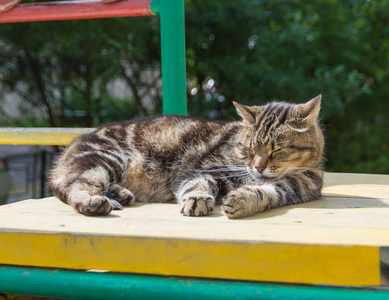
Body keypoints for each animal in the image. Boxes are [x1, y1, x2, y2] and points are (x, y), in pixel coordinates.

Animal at [50, 95, 326, 219]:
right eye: (248, 148)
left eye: (277, 150)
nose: (258, 168)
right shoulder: (205, 169)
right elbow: (197, 184)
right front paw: (197, 199)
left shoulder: (289, 188)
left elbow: (264, 193)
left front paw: (243, 200)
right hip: (105, 160)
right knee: (75, 186)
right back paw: (95, 202)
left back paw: (121, 195)